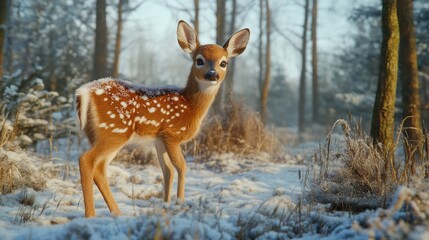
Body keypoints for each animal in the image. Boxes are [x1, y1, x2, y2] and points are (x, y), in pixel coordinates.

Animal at [75, 19, 249, 217]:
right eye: (199, 60)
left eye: (224, 63)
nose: (212, 74)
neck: (190, 106)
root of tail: (83, 92)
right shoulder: (172, 135)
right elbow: (181, 167)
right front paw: (180, 203)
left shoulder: (159, 140)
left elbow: (167, 171)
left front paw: (166, 205)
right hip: (113, 131)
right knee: (86, 160)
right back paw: (91, 215)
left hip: (102, 134)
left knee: (100, 168)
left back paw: (117, 212)